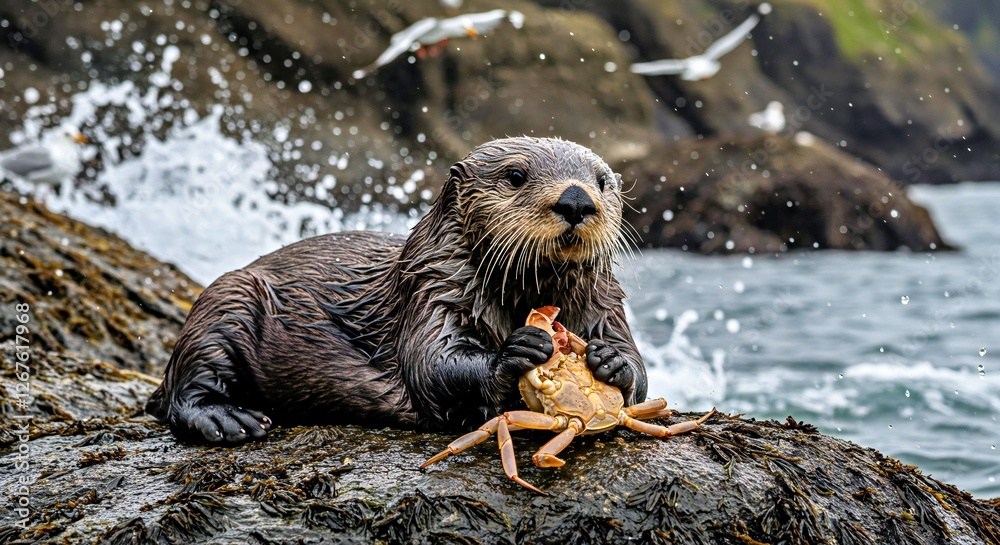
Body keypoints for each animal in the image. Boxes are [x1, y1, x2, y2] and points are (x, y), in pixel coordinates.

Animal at [146, 137, 648, 444]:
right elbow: (434, 364)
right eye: (516, 176)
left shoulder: (604, 303)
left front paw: (611, 360)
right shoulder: (434, 288)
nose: (576, 199)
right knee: (184, 387)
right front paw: (516, 350)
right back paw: (228, 419)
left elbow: (638, 378)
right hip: (226, 300)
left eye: (602, 181)